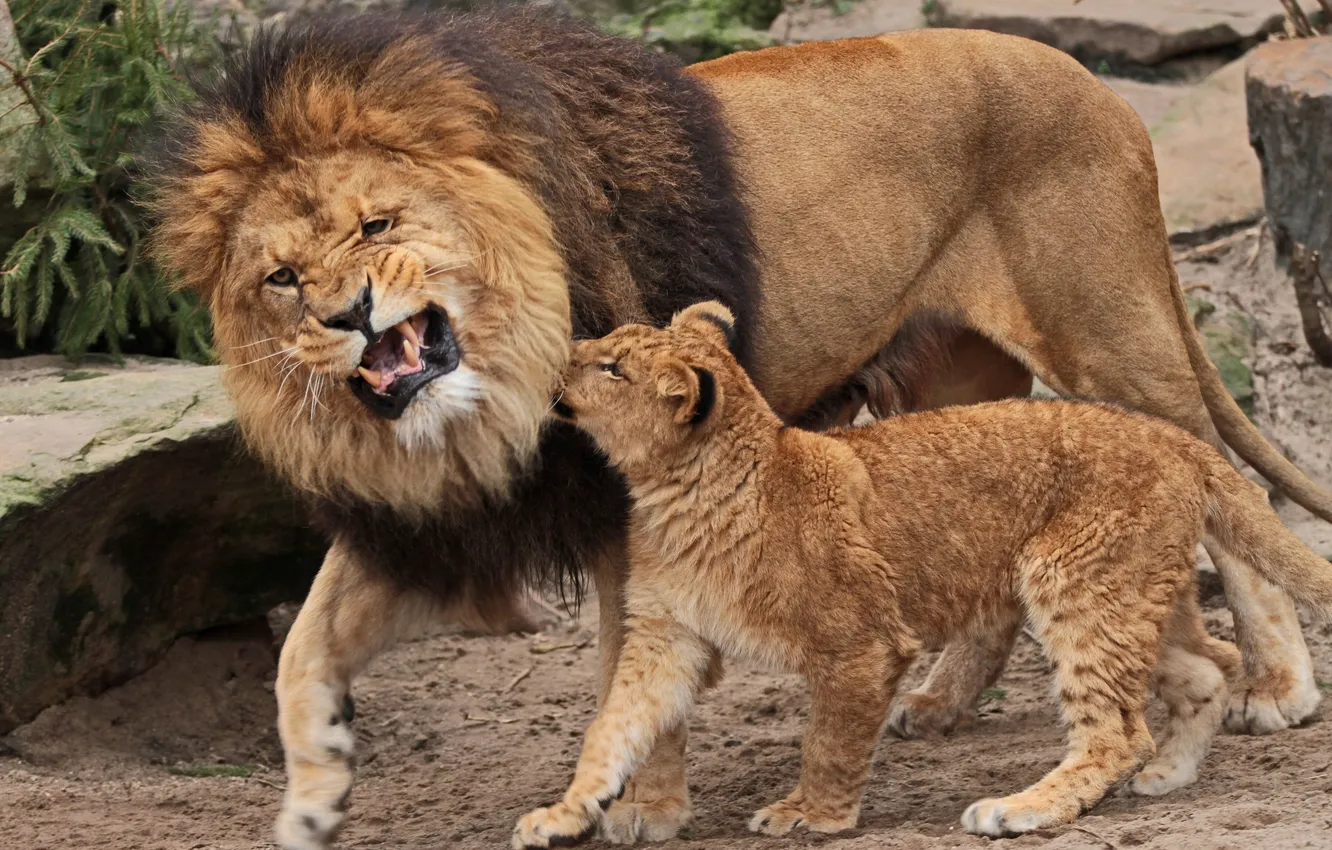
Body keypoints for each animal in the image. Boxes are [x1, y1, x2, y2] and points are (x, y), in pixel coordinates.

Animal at [145, 8, 1332, 850]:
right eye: (281, 279)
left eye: (379, 225)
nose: (348, 315)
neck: (481, 401)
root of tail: (1100, 90)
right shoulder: (441, 513)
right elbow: (300, 648)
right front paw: (313, 796)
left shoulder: (607, 499)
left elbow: (624, 662)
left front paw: (644, 805)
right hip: (954, 383)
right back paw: (945, 702)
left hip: (1109, 334)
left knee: (1233, 485)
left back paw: (1279, 687)